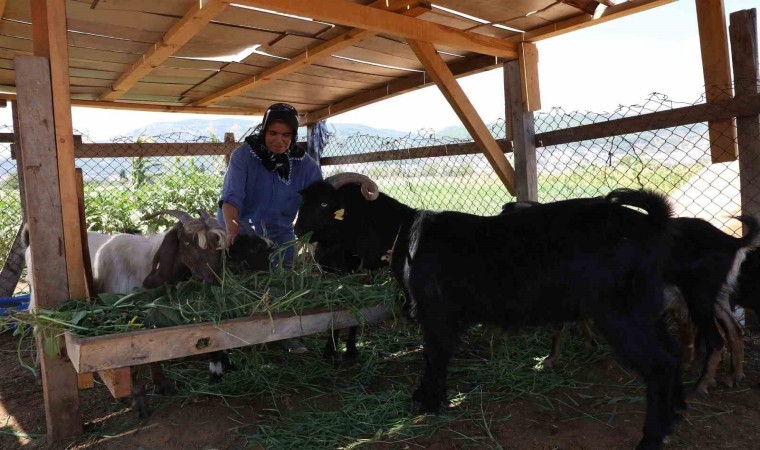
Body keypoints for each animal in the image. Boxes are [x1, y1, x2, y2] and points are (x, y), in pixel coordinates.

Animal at [296, 173, 684, 450]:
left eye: (326, 203)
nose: (297, 229)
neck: (404, 235)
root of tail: (651, 225)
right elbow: (434, 356)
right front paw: (428, 398)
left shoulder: (437, 314)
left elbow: (434, 356)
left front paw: (428, 402)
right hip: (647, 310)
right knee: (673, 355)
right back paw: (676, 417)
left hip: (621, 314)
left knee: (659, 366)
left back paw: (651, 439)